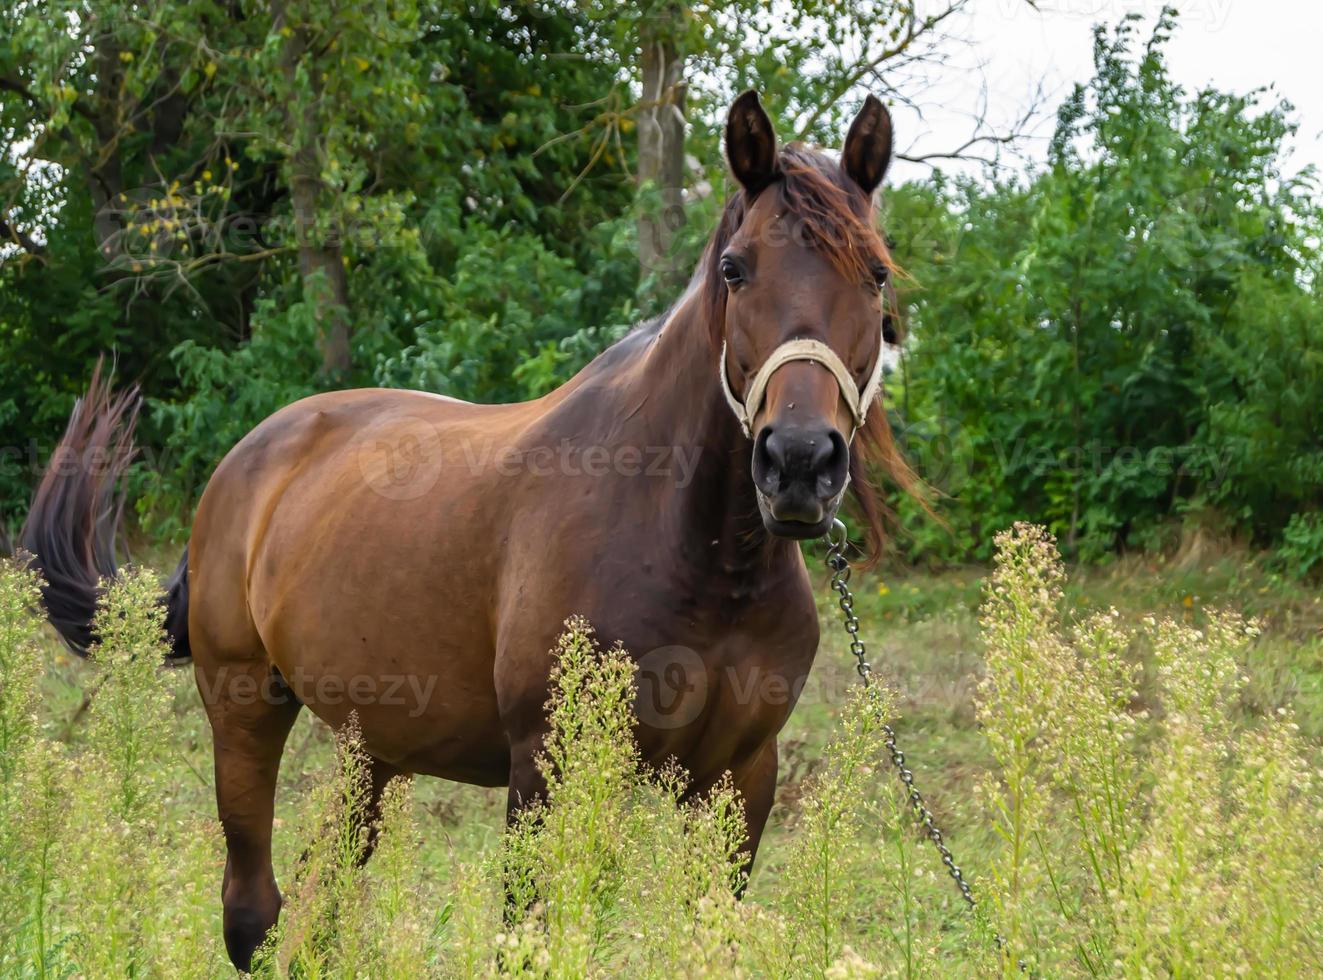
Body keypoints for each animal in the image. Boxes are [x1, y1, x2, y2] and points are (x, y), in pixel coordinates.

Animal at [23, 91, 910, 973]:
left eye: (876, 273)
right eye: (735, 267)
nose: (798, 461)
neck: (700, 554)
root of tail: (250, 458)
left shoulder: (740, 783)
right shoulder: (544, 772)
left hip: (373, 749)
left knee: (318, 900)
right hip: (243, 708)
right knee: (253, 912)